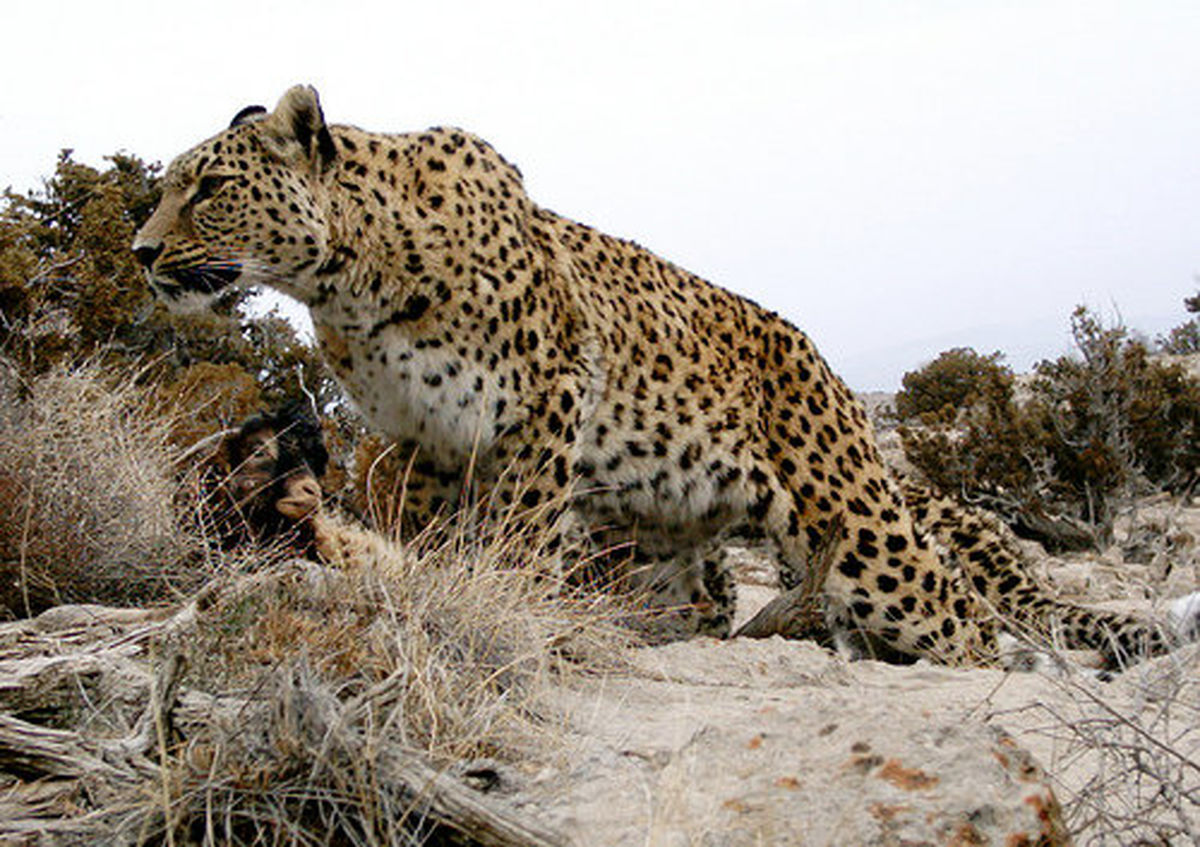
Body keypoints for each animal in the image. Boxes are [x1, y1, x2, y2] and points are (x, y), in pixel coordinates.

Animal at [136, 85, 1176, 667]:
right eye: (169, 186)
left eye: (210, 188)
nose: (143, 251)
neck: (351, 279)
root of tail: (829, 367)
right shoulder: (419, 438)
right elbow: (423, 536)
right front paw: (429, 595)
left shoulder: (546, 400)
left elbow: (517, 535)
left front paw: (501, 608)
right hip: (664, 539)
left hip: (855, 522)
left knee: (960, 611)